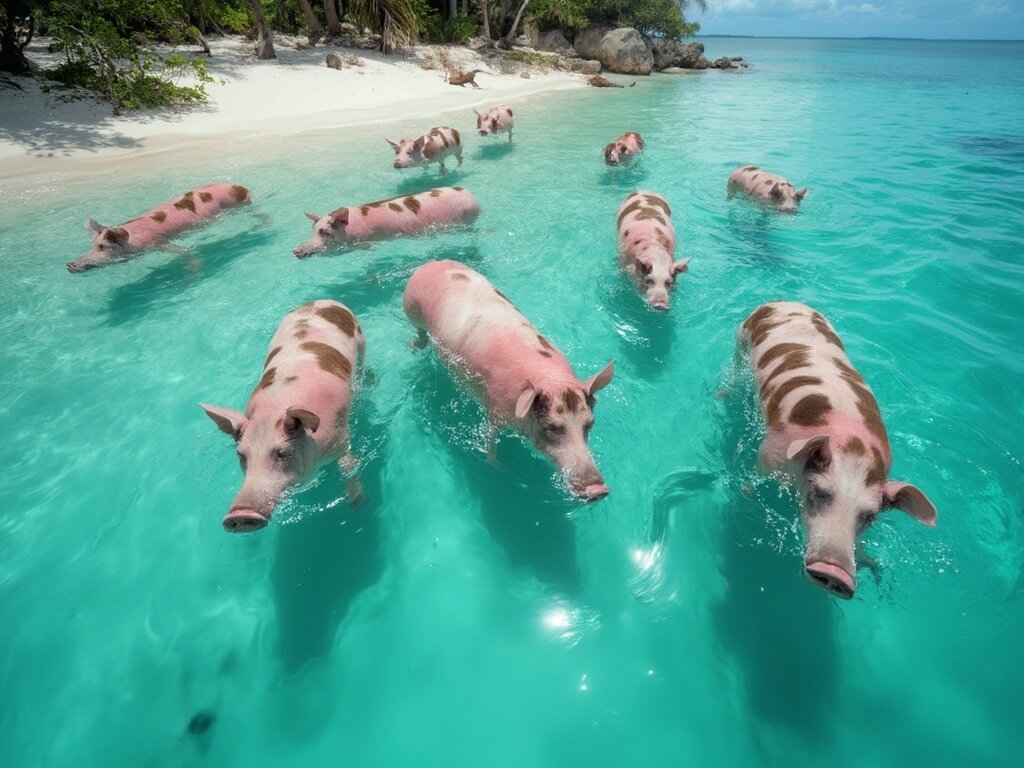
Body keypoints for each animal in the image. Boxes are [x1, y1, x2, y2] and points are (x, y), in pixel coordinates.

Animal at [67, 183, 251, 273]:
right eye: (92, 246)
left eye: (103, 246)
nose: (69, 264)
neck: (134, 239)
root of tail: (241, 187)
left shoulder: (158, 242)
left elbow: (185, 252)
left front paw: (195, 271)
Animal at [200, 300, 365, 532]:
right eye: (241, 455)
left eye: (282, 453)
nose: (239, 515)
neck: (274, 410)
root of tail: (321, 301)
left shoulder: (341, 437)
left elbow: (349, 465)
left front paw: (358, 505)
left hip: (361, 342)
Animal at [403, 260, 615, 502]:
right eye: (551, 428)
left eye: (589, 424)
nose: (598, 490)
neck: (550, 379)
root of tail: (431, 263)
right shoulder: (494, 407)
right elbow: (491, 439)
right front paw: (497, 468)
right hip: (411, 307)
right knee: (420, 335)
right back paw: (411, 347)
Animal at [739, 301, 937, 598]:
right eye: (820, 493)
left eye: (869, 516)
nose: (836, 574)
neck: (853, 447)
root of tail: (785, 301)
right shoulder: (770, 452)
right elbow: (753, 480)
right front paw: (746, 497)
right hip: (740, 341)